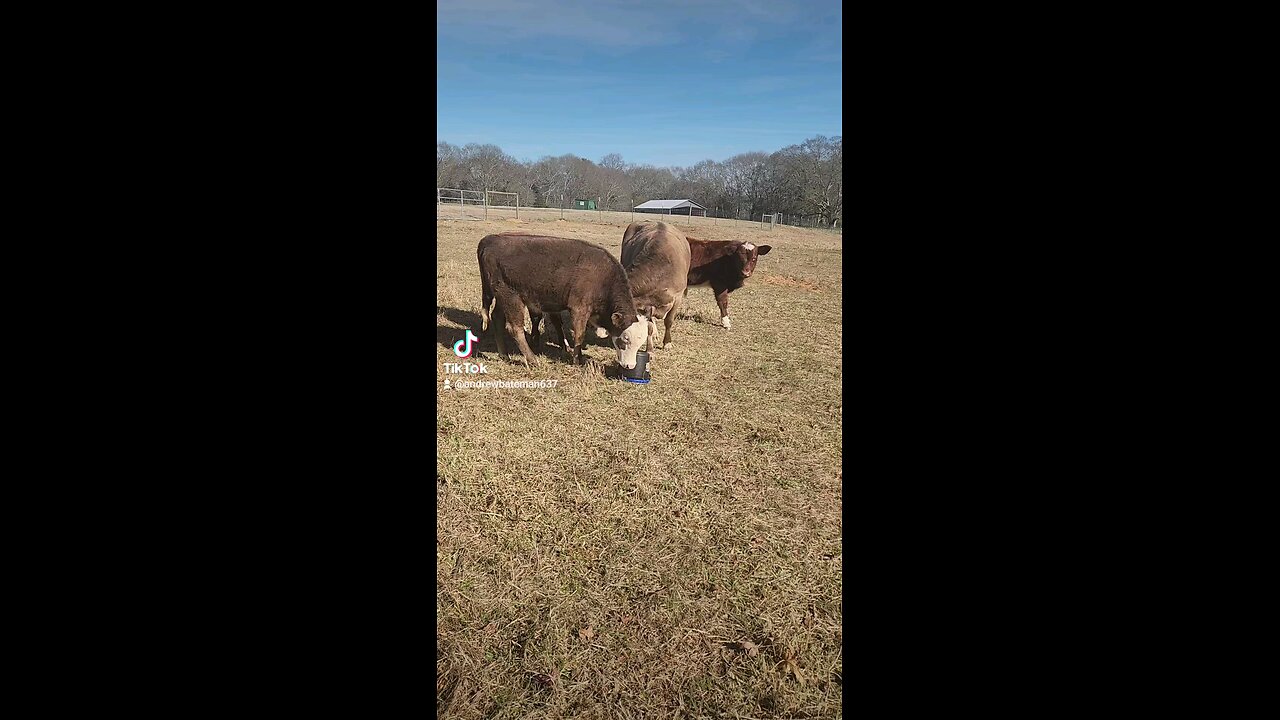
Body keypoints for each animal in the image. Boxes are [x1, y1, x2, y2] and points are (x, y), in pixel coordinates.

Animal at [477, 233, 648, 369]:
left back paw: (504, 354)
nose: (630, 365)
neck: (603, 277)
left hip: (502, 297)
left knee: (497, 318)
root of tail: (490, 240)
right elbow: (579, 335)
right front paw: (577, 360)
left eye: (641, 343)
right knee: (514, 328)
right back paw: (532, 359)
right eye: (625, 340)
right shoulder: (579, 308)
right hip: (511, 297)